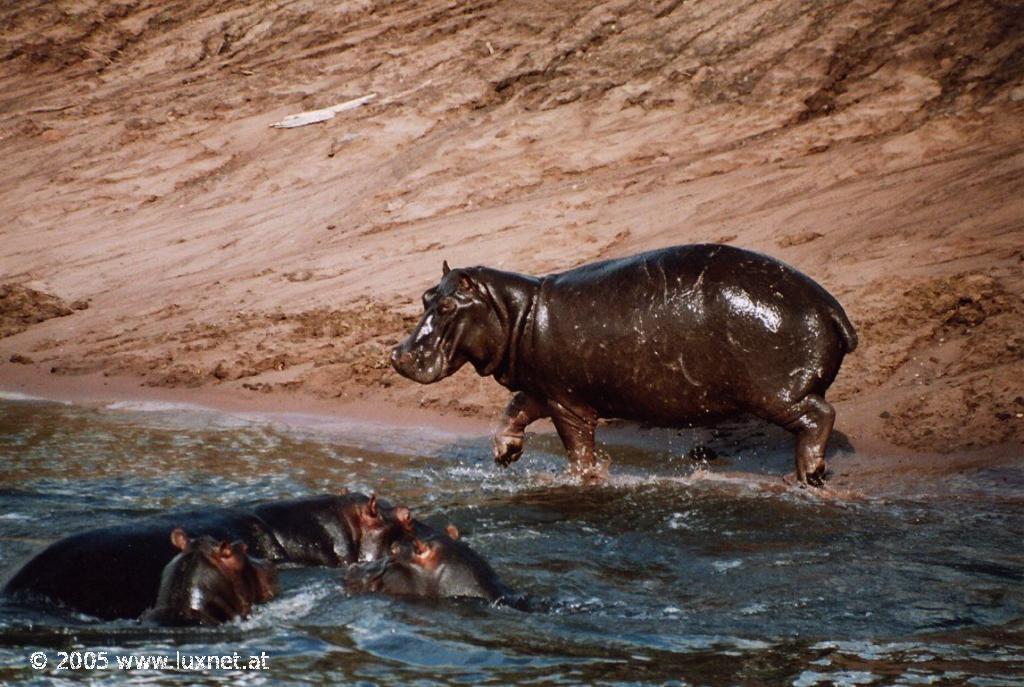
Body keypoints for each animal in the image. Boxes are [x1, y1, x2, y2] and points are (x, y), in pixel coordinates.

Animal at [391, 244, 856, 487]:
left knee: (820, 415)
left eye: (447, 305)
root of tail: (832, 308)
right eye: (426, 296)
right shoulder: (545, 388)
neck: (516, 312)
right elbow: (515, 409)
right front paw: (505, 453)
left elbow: (577, 445)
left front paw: (583, 479)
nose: (397, 354)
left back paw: (809, 474)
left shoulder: (567, 402)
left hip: (777, 392)